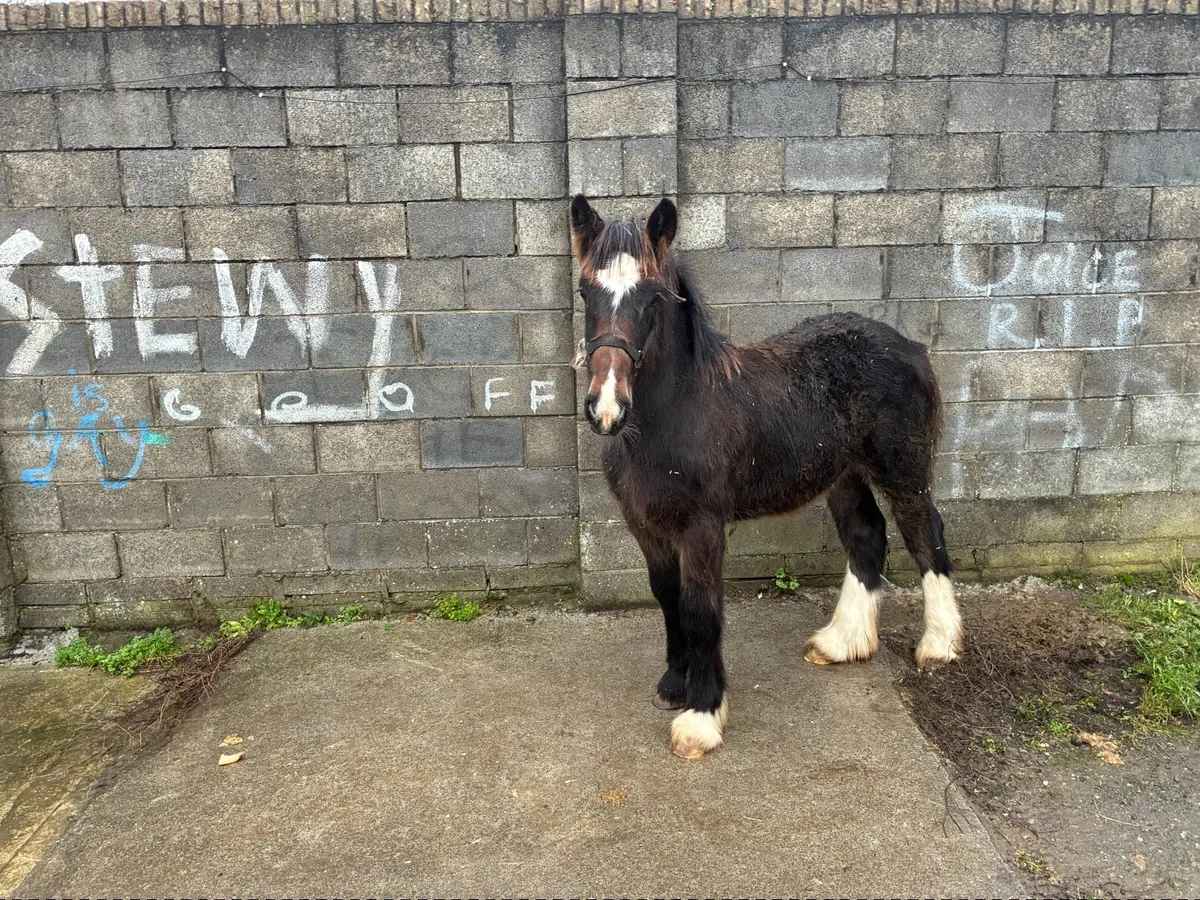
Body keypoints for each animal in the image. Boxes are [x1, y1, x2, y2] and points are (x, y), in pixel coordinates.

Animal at [570, 195, 963, 760]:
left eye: (653, 298)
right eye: (586, 292)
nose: (606, 407)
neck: (678, 411)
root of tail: (911, 345)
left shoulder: (702, 528)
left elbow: (701, 610)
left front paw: (701, 716)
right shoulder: (646, 525)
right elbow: (668, 598)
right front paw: (674, 684)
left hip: (903, 471)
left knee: (924, 536)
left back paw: (938, 645)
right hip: (843, 475)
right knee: (867, 536)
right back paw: (841, 642)